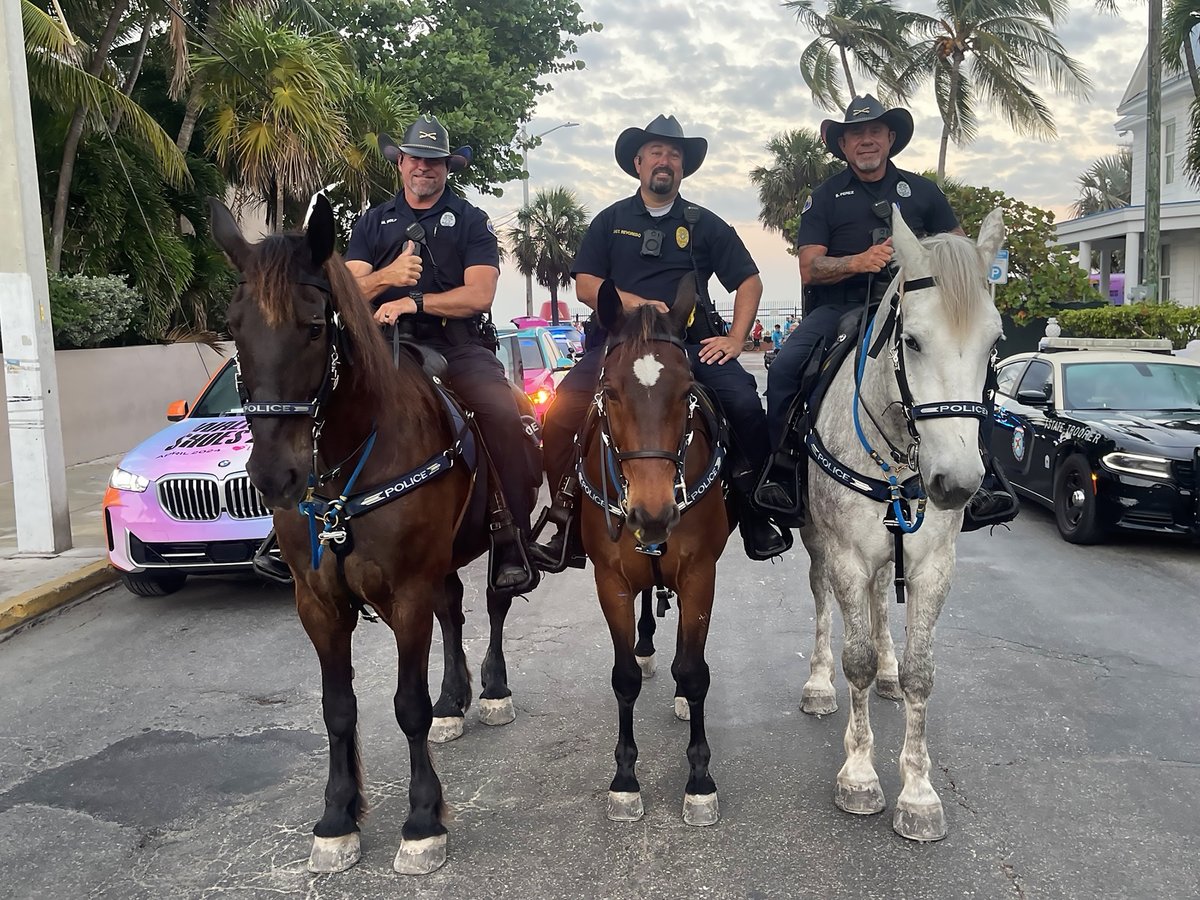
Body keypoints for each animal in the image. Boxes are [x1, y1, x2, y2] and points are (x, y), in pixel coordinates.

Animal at [210, 195, 525, 873]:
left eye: (312, 327)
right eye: (234, 328)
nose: (273, 475)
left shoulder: (405, 592)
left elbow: (406, 706)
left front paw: (423, 820)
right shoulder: (318, 602)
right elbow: (338, 709)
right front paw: (337, 816)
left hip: (491, 544)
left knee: (493, 602)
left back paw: (490, 690)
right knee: (454, 609)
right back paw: (455, 699)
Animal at [580, 277, 729, 830]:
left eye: (686, 391)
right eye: (610, 392)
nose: (653, 511)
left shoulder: (700, 574)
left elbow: (694, 670)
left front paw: (700, 780)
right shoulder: (611, 581)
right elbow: (623, 677)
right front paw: (624, 779)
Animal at [801, 207, 1008, 844]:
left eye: (996, 342)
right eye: (912, 340)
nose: (957, 483)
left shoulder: (934, 566)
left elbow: (921, 673)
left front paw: (917, 792)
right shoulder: (845, 553)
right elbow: (857, 660)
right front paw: (860, 775)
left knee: (877, 607)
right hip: (819, 545)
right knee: (823, 599)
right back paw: (819, 684)